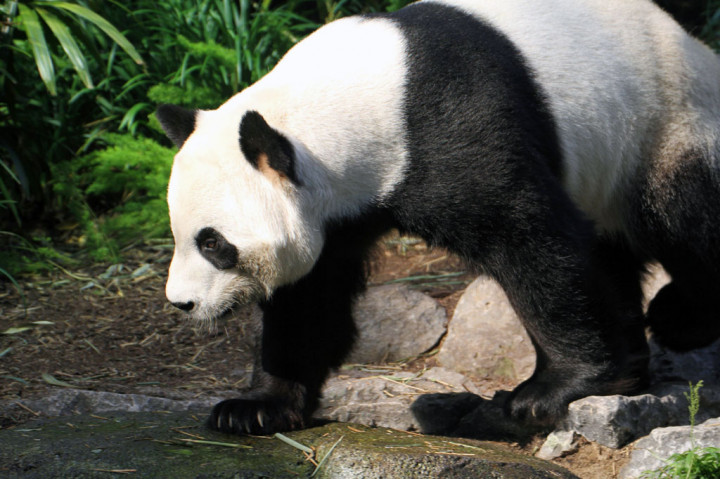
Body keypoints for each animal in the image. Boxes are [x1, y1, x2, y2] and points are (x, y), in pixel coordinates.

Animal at [156, 0, 720, 436]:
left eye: (213, 242)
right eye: (180, 235)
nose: (182, 303)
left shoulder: (451, 129)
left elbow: (531, 241)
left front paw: (548, 392)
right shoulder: (338, 214)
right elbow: (310, 299)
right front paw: (253, 408)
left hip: (666, 122)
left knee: (683, 219)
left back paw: (679, 318)